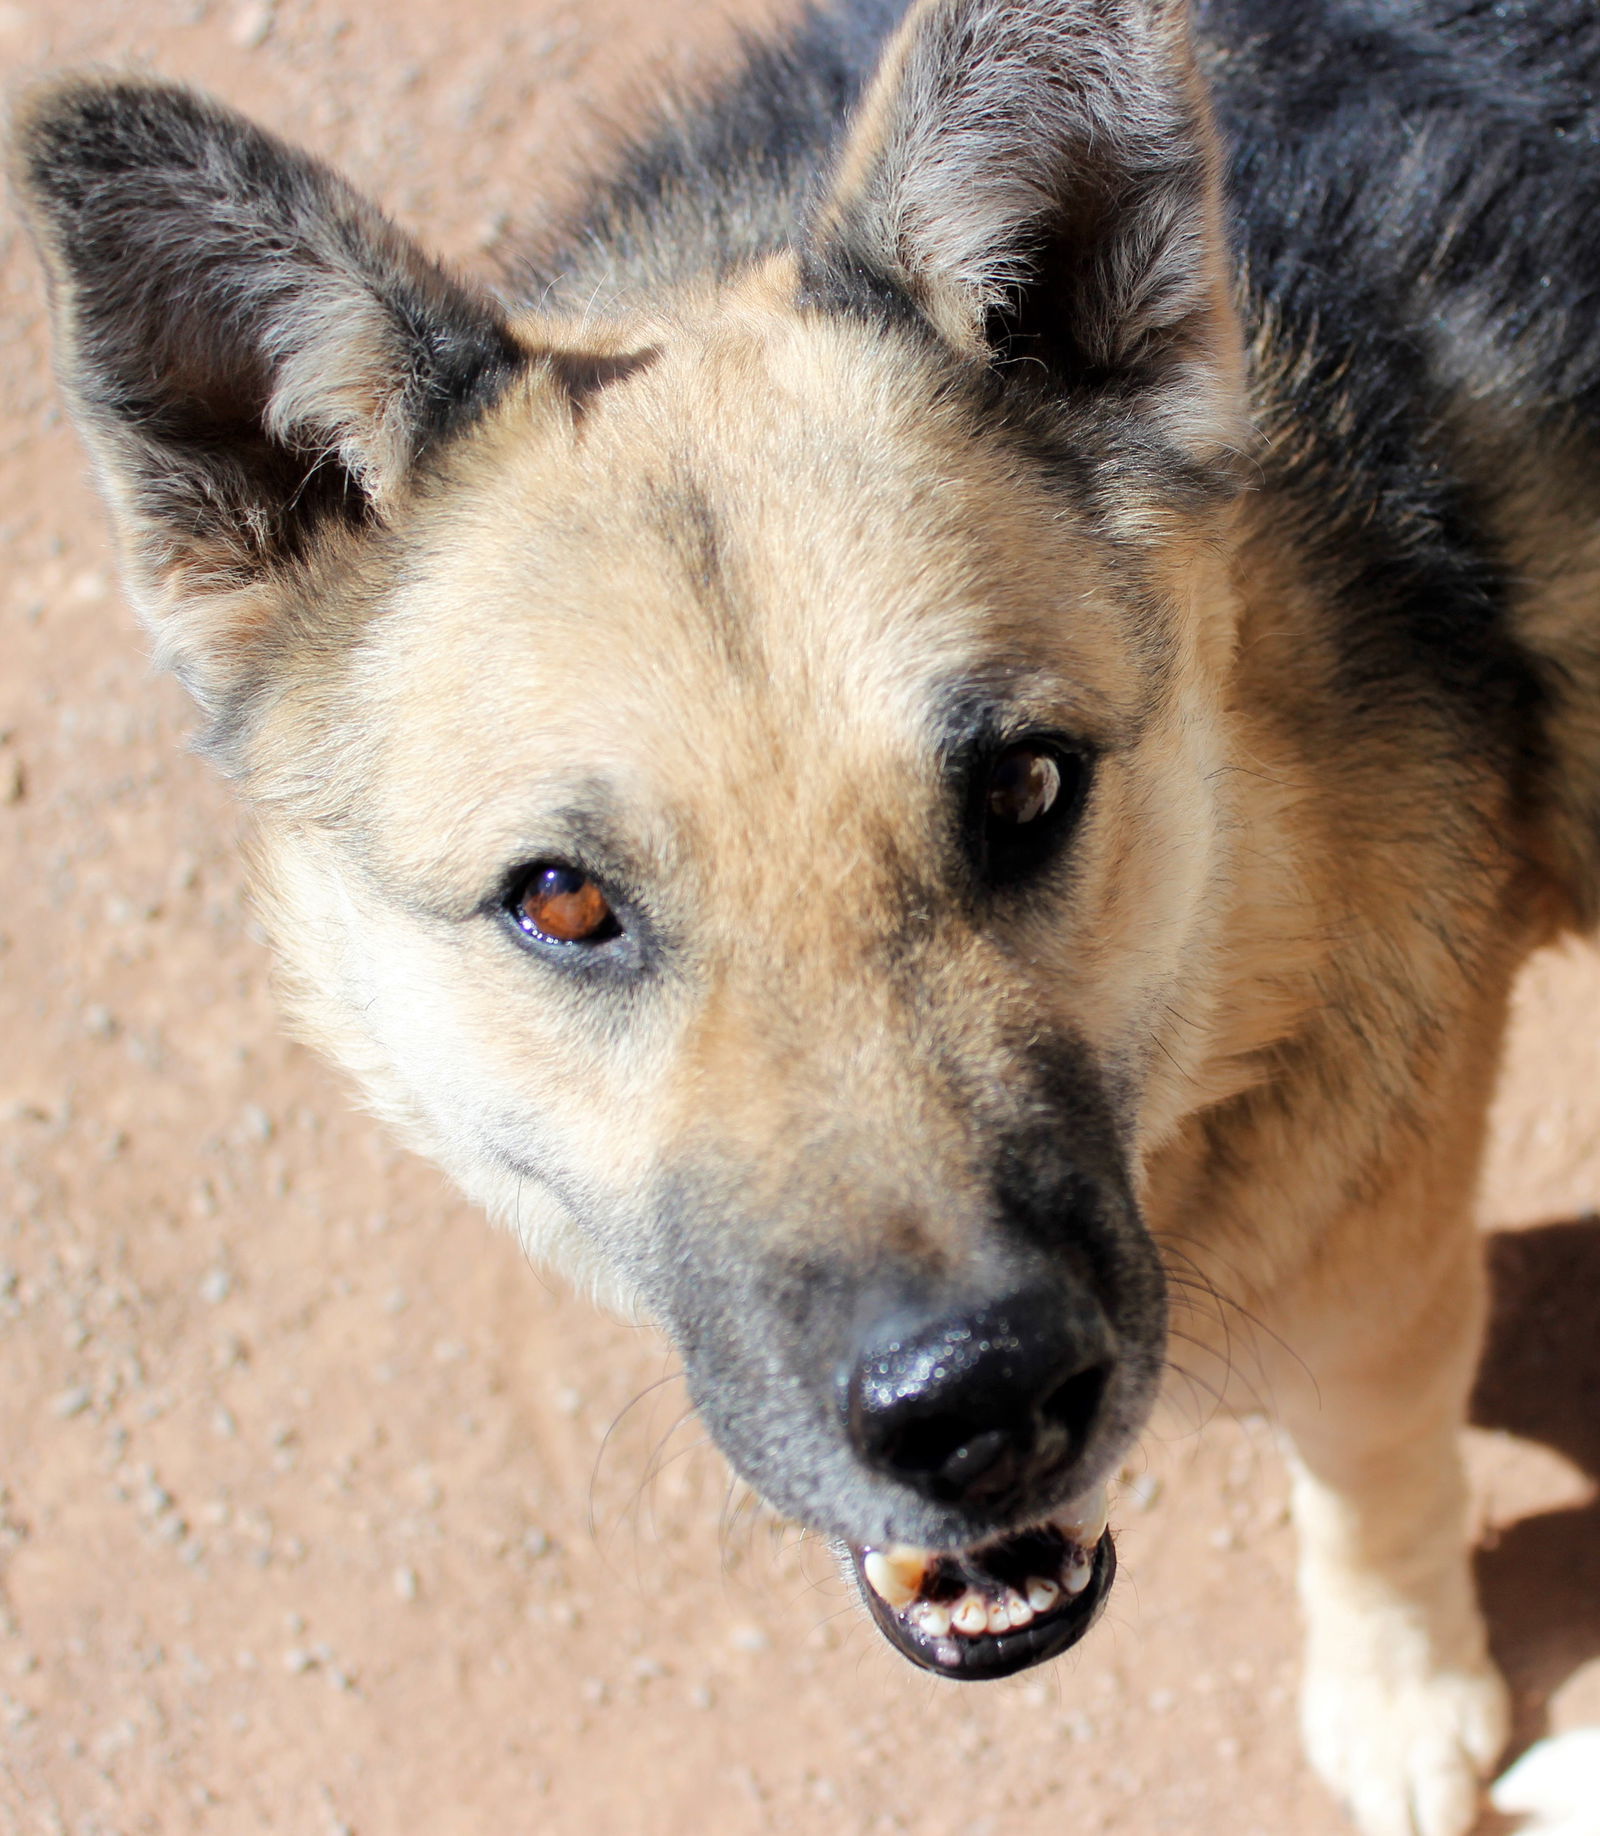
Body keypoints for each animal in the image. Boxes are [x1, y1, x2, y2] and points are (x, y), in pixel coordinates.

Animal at [15, 0, 1600, 1828]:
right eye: (563, 899)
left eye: (1027, 786)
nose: (973, 1408)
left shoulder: (1382, 1279)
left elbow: (1374, 1477)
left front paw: (1403, 1699)